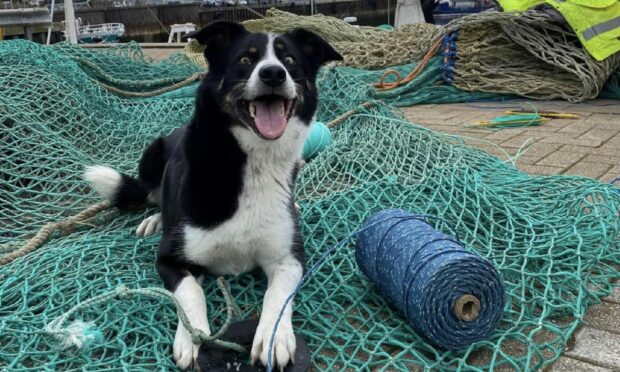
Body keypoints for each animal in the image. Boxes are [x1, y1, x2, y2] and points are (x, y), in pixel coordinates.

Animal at [81, 21, 342, 370]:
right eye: (245, 60)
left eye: (290, 61)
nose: (273, 74)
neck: (251, 163)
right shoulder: (171, 259)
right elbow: (192, 292)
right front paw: (194, 338)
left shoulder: (289, 257)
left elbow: (278, 295)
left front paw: (274, 335)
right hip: (152, 151)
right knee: (154, 195)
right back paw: (154, 219)